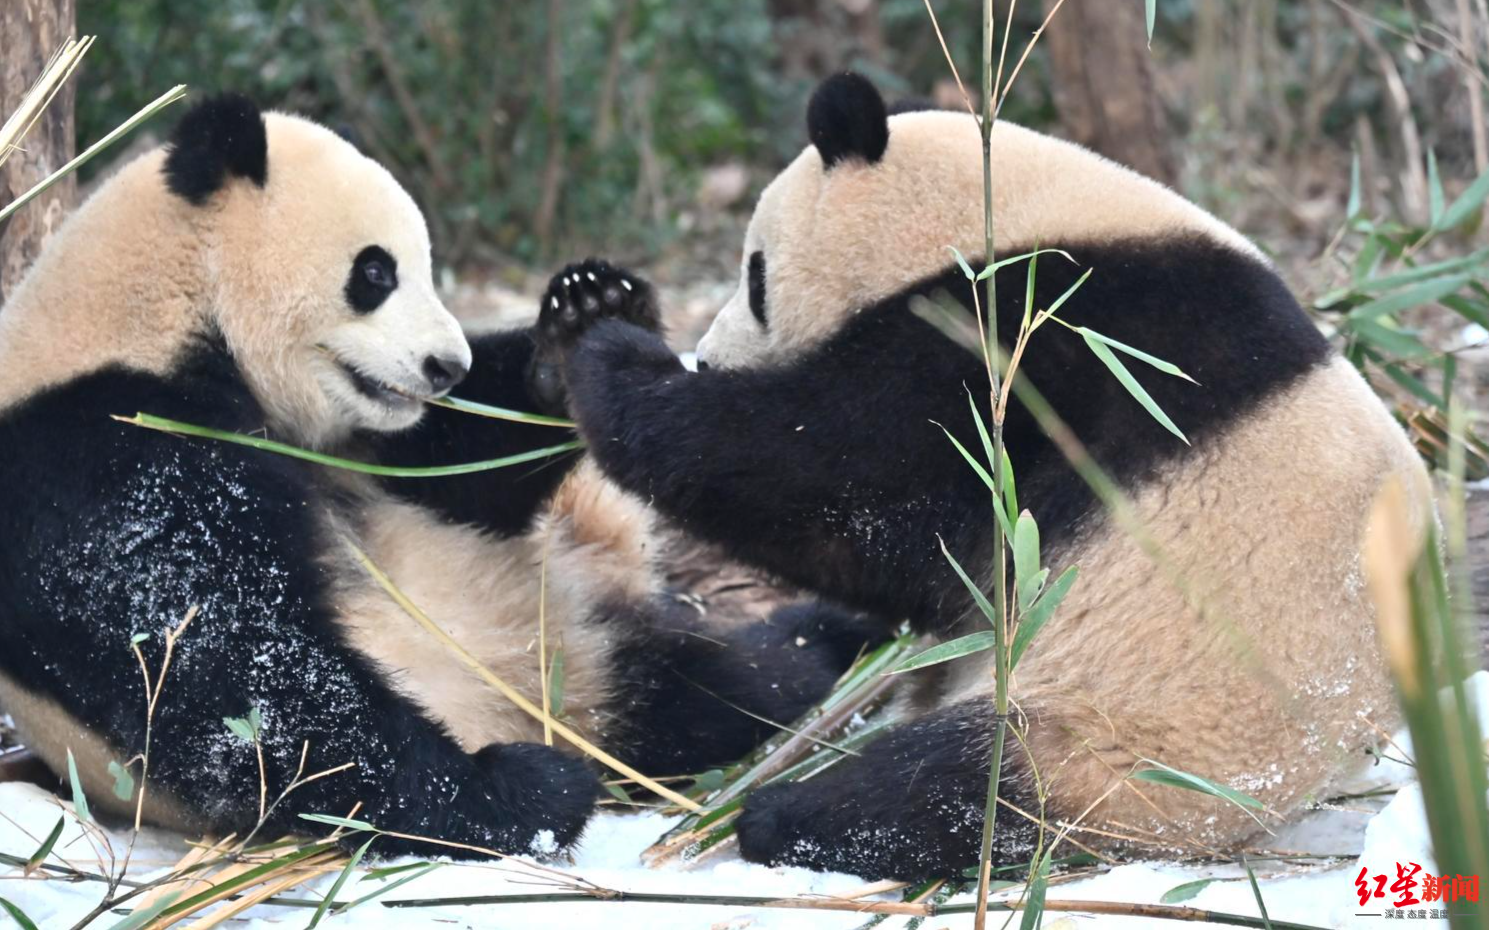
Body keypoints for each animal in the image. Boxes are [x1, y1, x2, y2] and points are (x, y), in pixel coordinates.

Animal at [0, 94, 869, 857]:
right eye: (376, 272)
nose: (445, 366)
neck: (156, 310)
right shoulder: (107, 451)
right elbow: (229, 673)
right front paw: (518, 795)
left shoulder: (357, 446)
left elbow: (456, 471)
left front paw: (582, 320)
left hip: (578, 641)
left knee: (727, 684)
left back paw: (831, 642)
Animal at [553, 72, 1435, 874]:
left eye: (755, 275)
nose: (712, 353)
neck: (993, 218)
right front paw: (588, 302)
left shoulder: (1049, 344)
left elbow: (838, 481)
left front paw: (609, 351)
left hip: (1126, 737)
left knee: (954, 792)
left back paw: (784, 813)